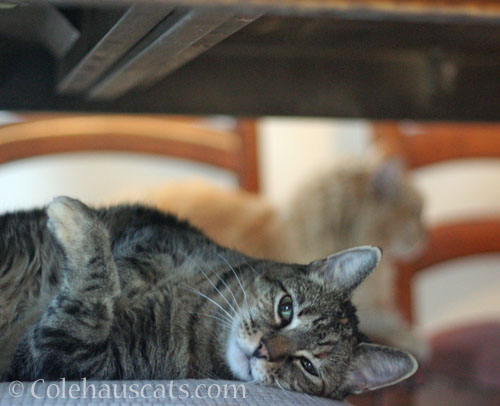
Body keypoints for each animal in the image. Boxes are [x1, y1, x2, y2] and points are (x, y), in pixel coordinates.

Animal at [0, 197, 416, 400]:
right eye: (286, 309)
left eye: (308, 366)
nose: (263, 349)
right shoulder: (153, 232)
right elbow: (123, 260)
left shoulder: (73, 359)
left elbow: (90, 295)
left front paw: (77, 225)